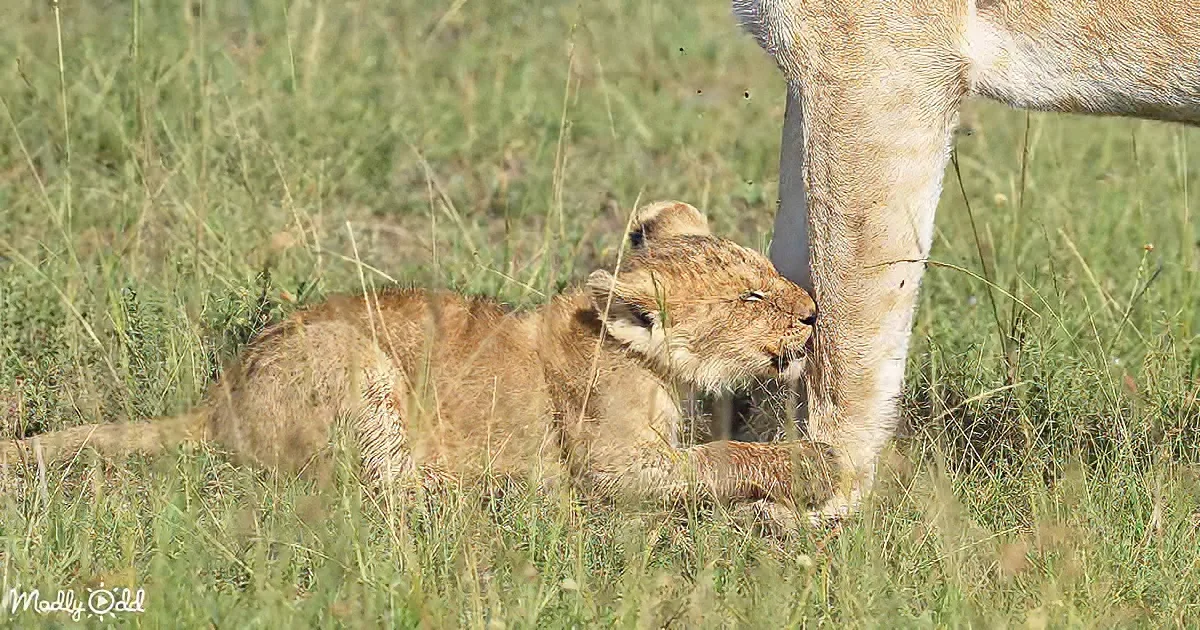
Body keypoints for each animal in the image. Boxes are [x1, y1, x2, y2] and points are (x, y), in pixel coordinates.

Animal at [1, 201, 839, 520]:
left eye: (763, 277)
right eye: (749, 297)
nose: (811, 311)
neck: (657, 366)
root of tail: (216, 402)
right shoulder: (612, 462)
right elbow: (719, 459)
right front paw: (814, 466)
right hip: (356, 360)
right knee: (378, 487)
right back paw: (487, 488)